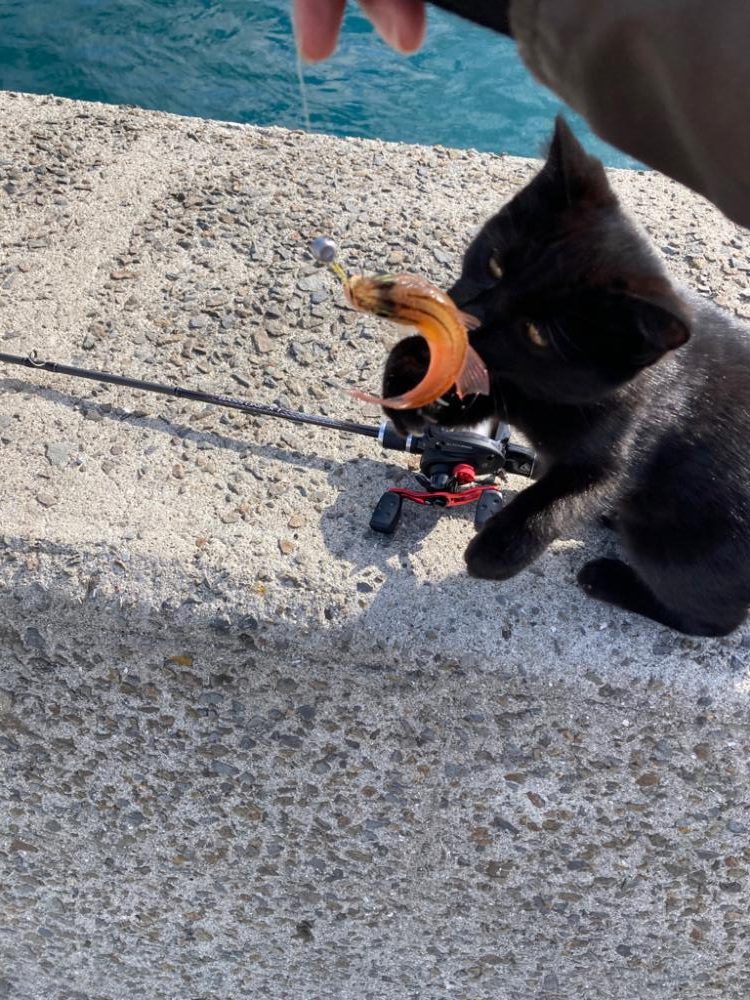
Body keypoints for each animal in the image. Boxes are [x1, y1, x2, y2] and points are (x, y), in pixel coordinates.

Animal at [384, 115, 750, 632]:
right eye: (495, 263)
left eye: (538, 332)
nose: (471, 321)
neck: (552, 393)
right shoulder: (518, 388)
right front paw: (410, 383)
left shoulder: (621, 448)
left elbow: (561, 500)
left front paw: (495, 551)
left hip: (680, 550)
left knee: (711, 620)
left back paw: (609, 578)